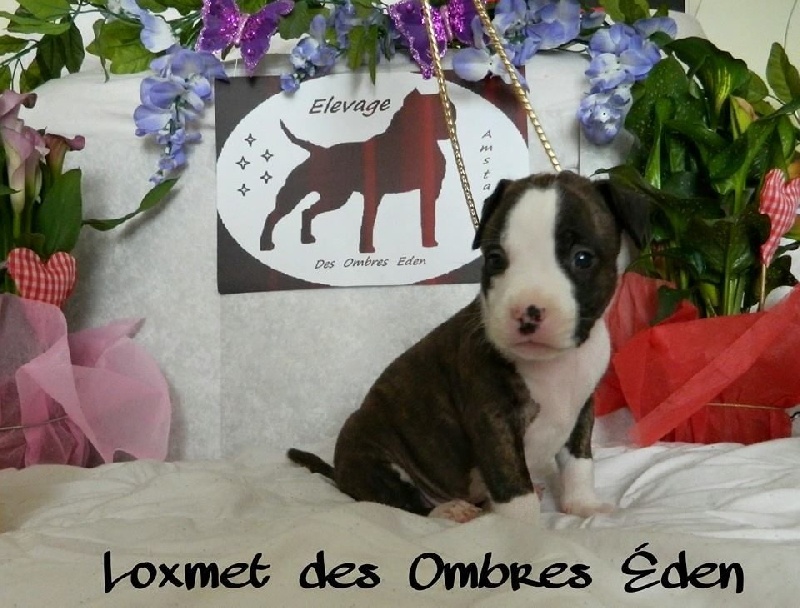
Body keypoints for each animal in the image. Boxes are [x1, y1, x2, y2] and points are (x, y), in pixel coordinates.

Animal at [260, 88, 452, 254]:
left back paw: (306, 239)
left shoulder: (428, 191)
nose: (450, 117)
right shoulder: (374, 194)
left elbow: (428, 219)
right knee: (273, 215)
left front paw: (429, 244)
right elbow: (368, 221)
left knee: (307, 212)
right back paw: (266, 244)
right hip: (297, 193)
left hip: (334, 197)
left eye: (449, 107)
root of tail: (319, 151)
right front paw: (366, 250)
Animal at [288, 171, 648, 523]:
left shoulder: (583, 408)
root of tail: (339, 473)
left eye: (582, 258)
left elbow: (579, 463)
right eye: (495, 259)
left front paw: (583, 505)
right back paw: (449, 508)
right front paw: (524, 531)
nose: (527, 311)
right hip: (371, 455)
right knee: (404, 502)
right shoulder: (493, 420)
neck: (552, 365)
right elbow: (514, 489)